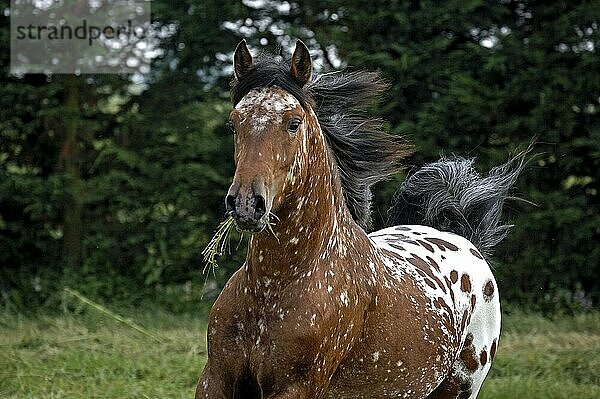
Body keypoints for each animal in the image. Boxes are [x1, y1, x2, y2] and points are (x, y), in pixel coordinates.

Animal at [196, 39, 524, 398]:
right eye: (234, 123)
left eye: (294, 123)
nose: (245, 203)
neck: (273, 287)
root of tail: (464, 239)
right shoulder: (215, 380)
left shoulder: (295, 387)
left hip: (459, 389)